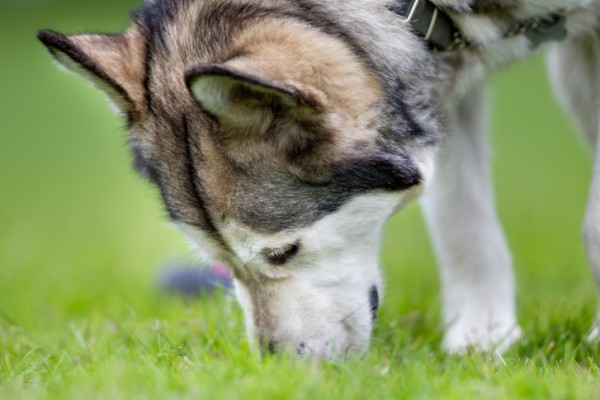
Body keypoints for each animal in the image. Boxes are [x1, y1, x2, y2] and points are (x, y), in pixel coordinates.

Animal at [37, 0, 600, 360]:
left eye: (283, 252)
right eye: (221, 262)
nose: (279, 367)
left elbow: (592, 226)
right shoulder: (439, 94)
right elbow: (464, 226)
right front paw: (482, 340)